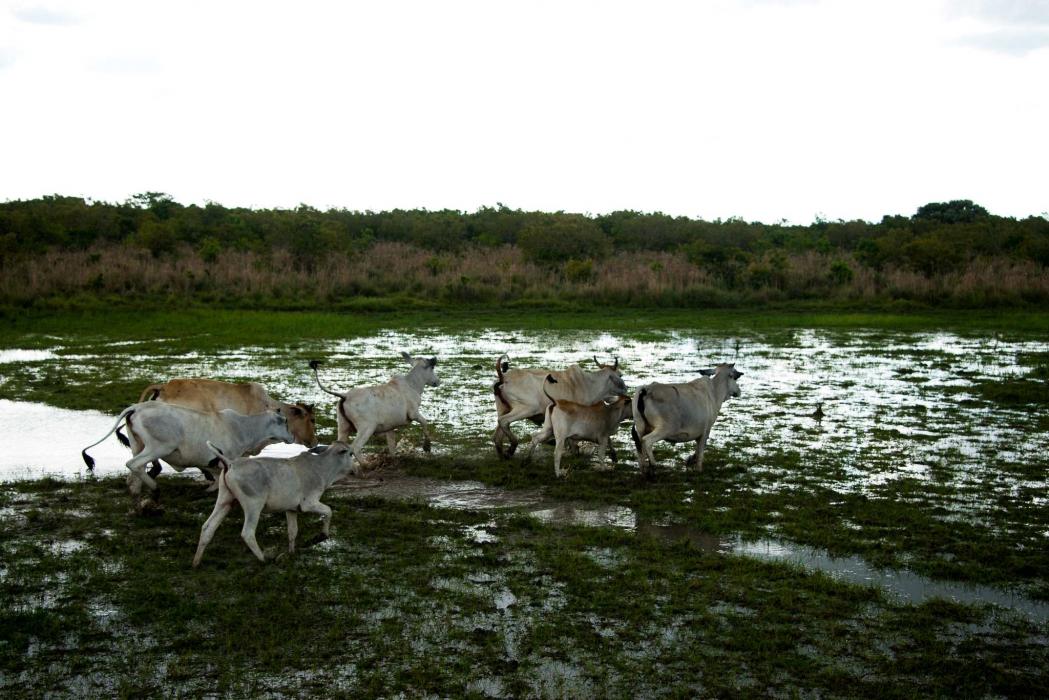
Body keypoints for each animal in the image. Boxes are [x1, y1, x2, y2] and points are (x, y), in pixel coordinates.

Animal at [80, 402, 295, 495]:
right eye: (285, 421)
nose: (292, 437)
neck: (243, 427)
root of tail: (137, 407)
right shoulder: (228, 458)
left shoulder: (211, 462)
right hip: (159, 447)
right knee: (134, 464)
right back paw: (154, 487)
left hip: (137, 445)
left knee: (134, 473)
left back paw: (137, 492)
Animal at [188, 440, 352, 566]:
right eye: (350, 453)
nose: (355, 467)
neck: (321, 466)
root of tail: (231, 463)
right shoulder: (309, 503)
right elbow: (328, 511)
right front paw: (321, 536)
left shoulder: (291, 509)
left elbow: (292, 531)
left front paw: (291, 553)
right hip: (253, 505)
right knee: (247, 533)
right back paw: (263, 559)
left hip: (225, 501)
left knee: (207, 527)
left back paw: (196, 562)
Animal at [493, 352, 625, 457]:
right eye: (620, 375)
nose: (625, 389)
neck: (589, 384)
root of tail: (504, 377)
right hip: (527, 408)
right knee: (504, 421)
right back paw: (512, 447)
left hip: (504, 408)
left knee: (498, 434)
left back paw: (503, 455)